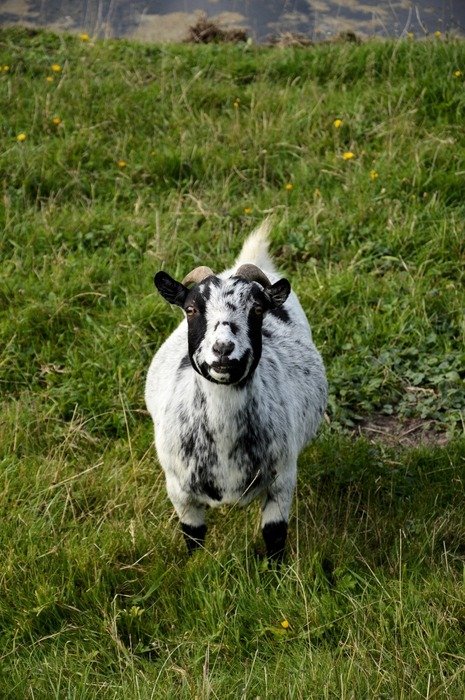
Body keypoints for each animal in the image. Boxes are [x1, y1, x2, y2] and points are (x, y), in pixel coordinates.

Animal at [145, 221, 327, 559]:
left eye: (256, 309)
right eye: (191, 308)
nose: (223, 349)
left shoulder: (282, 480)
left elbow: (274, 535)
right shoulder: (179, 490)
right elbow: (193, 537)